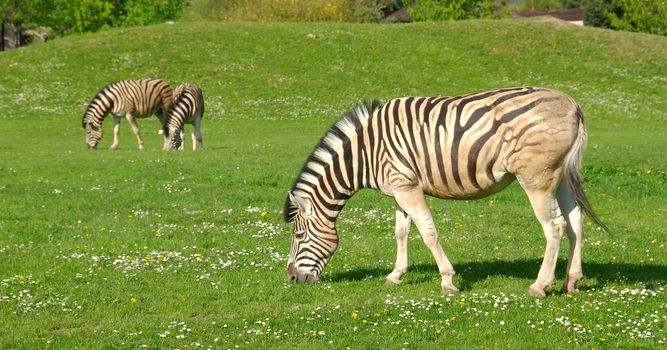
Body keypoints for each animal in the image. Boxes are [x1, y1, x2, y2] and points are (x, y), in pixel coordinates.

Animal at [284, 87, 608, 298]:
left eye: (298, 235)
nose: (292, 278)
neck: (366, 153)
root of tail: (572, 104)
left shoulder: (407, 187)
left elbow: (428, 232)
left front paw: (448, 281)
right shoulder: (400, 189)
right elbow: (401, 233)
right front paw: (396, 275)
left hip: (536, 177)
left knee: (555, 226)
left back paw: (540, 286)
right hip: (560, 175)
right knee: (576, 222)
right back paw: (571, 282)